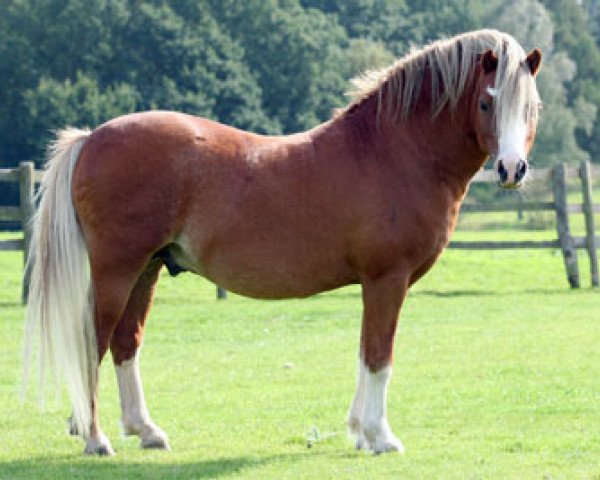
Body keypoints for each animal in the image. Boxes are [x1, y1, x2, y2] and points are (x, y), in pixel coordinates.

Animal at [23, 30, 540, 454]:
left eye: (531, 107)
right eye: (488, 103)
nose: (511, 169)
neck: (393, 150)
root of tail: (91, 137)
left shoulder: (375, 284)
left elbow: (364, 352)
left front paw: (358, 432)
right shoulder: (386, 279)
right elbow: (379, 355)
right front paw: (380, 437)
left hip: (146, 268)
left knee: (126, 341)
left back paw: (146, 431)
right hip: (117, 268)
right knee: (93, 341)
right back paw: (96, 438)